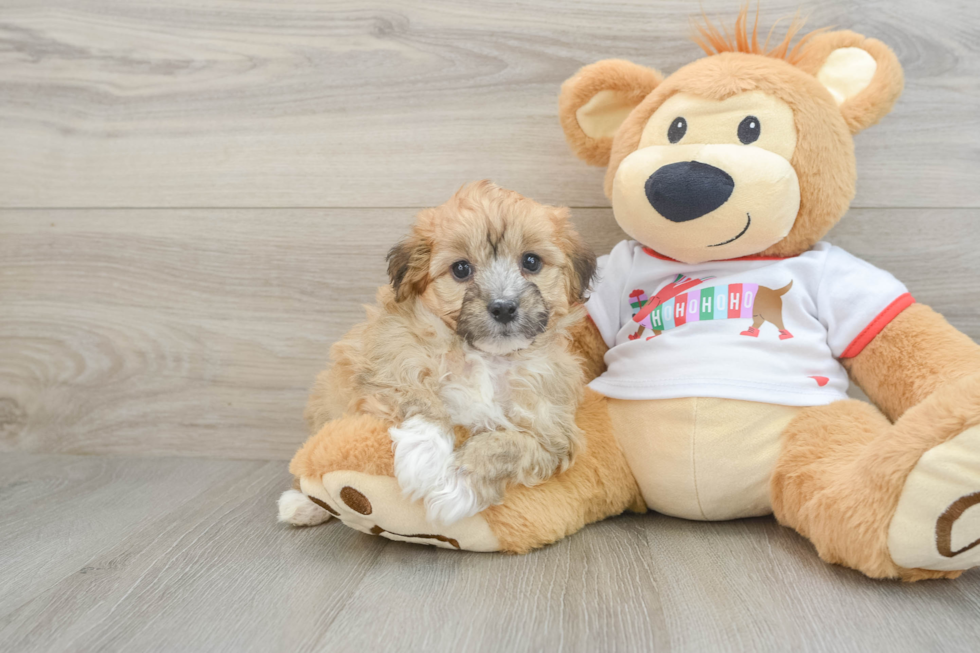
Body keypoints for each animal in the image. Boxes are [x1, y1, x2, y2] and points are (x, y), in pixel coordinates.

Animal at [302, 180, 592, 524]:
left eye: (531, 262)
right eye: (461, 269)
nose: (504, 307)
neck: (488, 357)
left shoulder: (553, 433)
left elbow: (507, 446)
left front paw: (455, 488)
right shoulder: (387, 357)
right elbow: (420, 398)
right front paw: (424, 460)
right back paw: (302, 505)